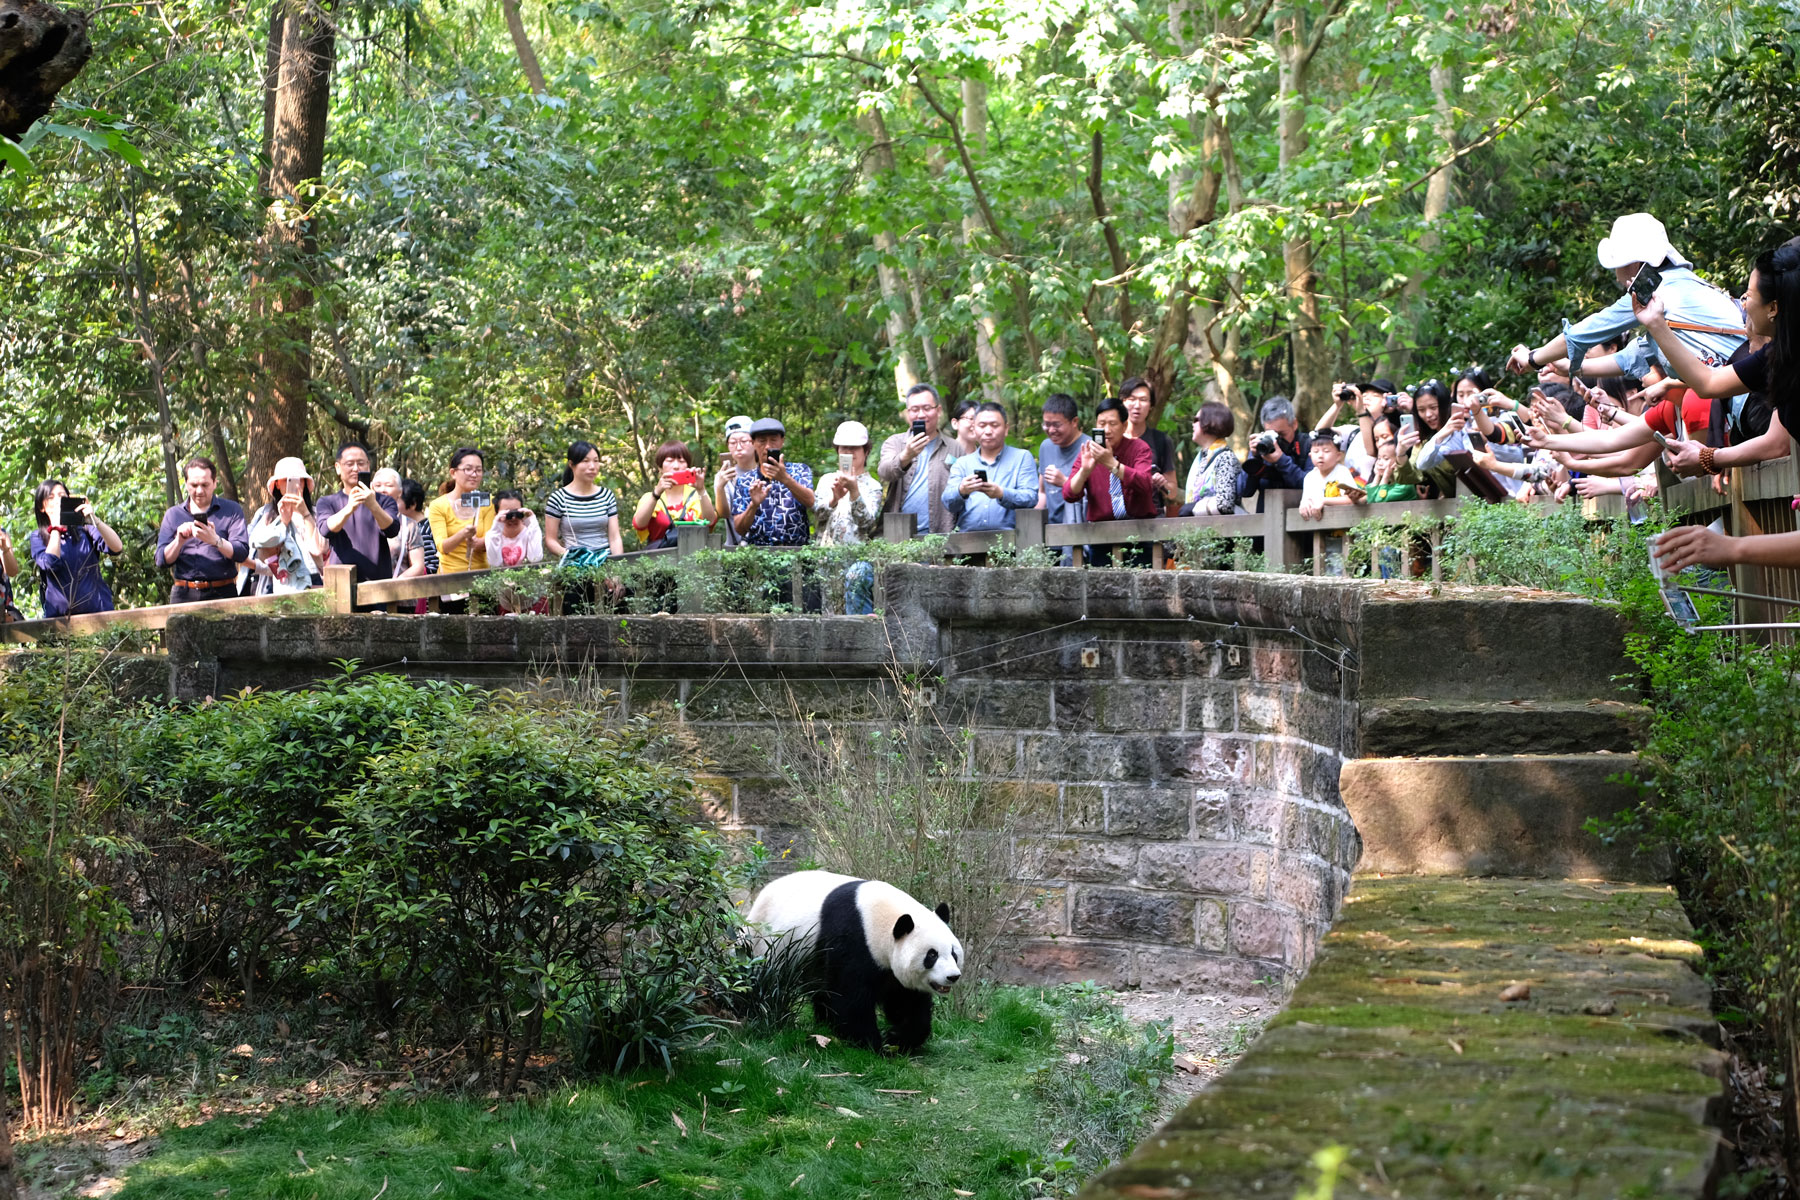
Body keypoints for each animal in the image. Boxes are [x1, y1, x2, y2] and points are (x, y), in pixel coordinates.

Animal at [745, 874, 964, 1050]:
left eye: (954, 953)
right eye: (932, 955)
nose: (952, 977)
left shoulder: (890, 969)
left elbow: (906, 1000)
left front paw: (898, 1038)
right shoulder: (853, 939)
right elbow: (850, 996)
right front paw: (872, 1043)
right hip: (764, 944)